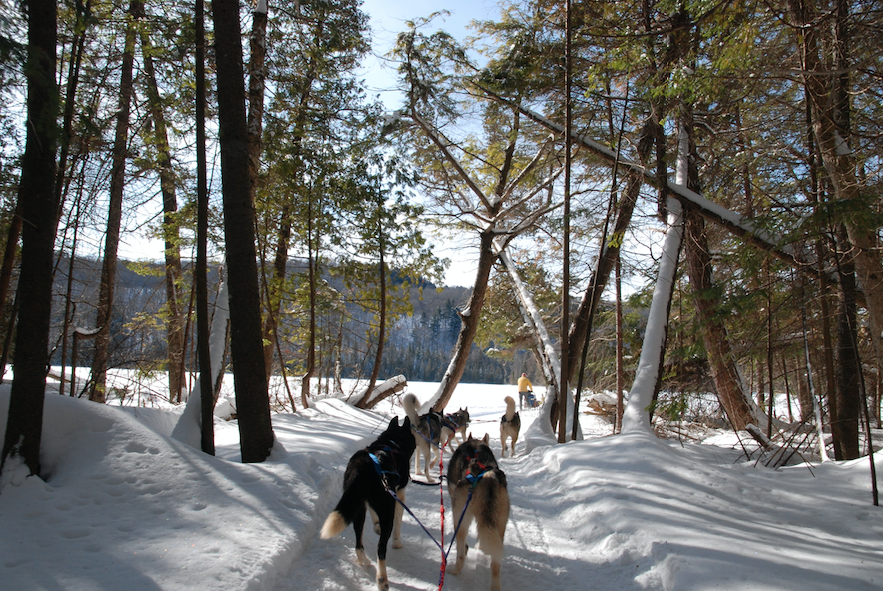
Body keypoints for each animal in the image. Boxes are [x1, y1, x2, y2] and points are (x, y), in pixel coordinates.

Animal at [322, 416, 418, 591]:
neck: (392, 442)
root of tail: (362, 466)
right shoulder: (398, 496)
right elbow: (398, 525)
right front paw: (397, 543)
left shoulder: (369, 502)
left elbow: (373, 515)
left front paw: (376, 525)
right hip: (386, 510)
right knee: (380, 549)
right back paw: (382, 580)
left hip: (357, 507)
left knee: (358, 541)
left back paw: (364, 561)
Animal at [448, 432, 512, 588]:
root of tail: (487, 477)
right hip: (500, 524)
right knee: (495, 564)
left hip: (460, 518)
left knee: (461, 554)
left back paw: (454, 570)